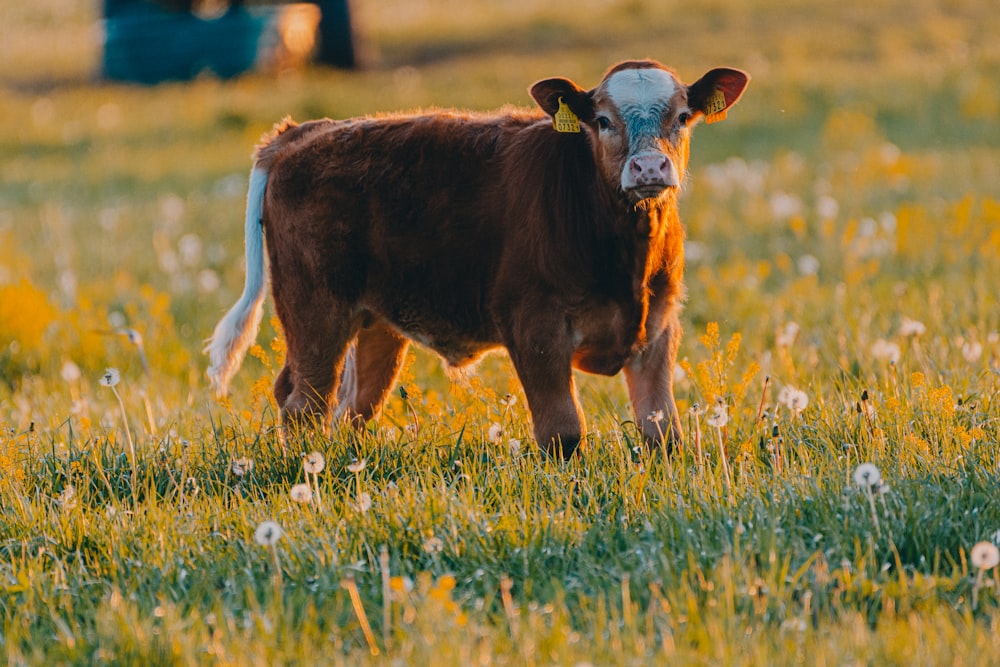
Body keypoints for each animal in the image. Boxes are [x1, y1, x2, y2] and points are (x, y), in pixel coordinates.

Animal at [207, 60, 748, 456]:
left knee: (354, 404)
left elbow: (663, 432)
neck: (623, 259)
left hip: (374, 324)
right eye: (602, 121)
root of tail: (301, 132)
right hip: (315, 312)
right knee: (304, 403)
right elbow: (563, 431)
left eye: (682, 117)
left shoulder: (657, 325)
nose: (649, 167)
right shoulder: (534, 326)